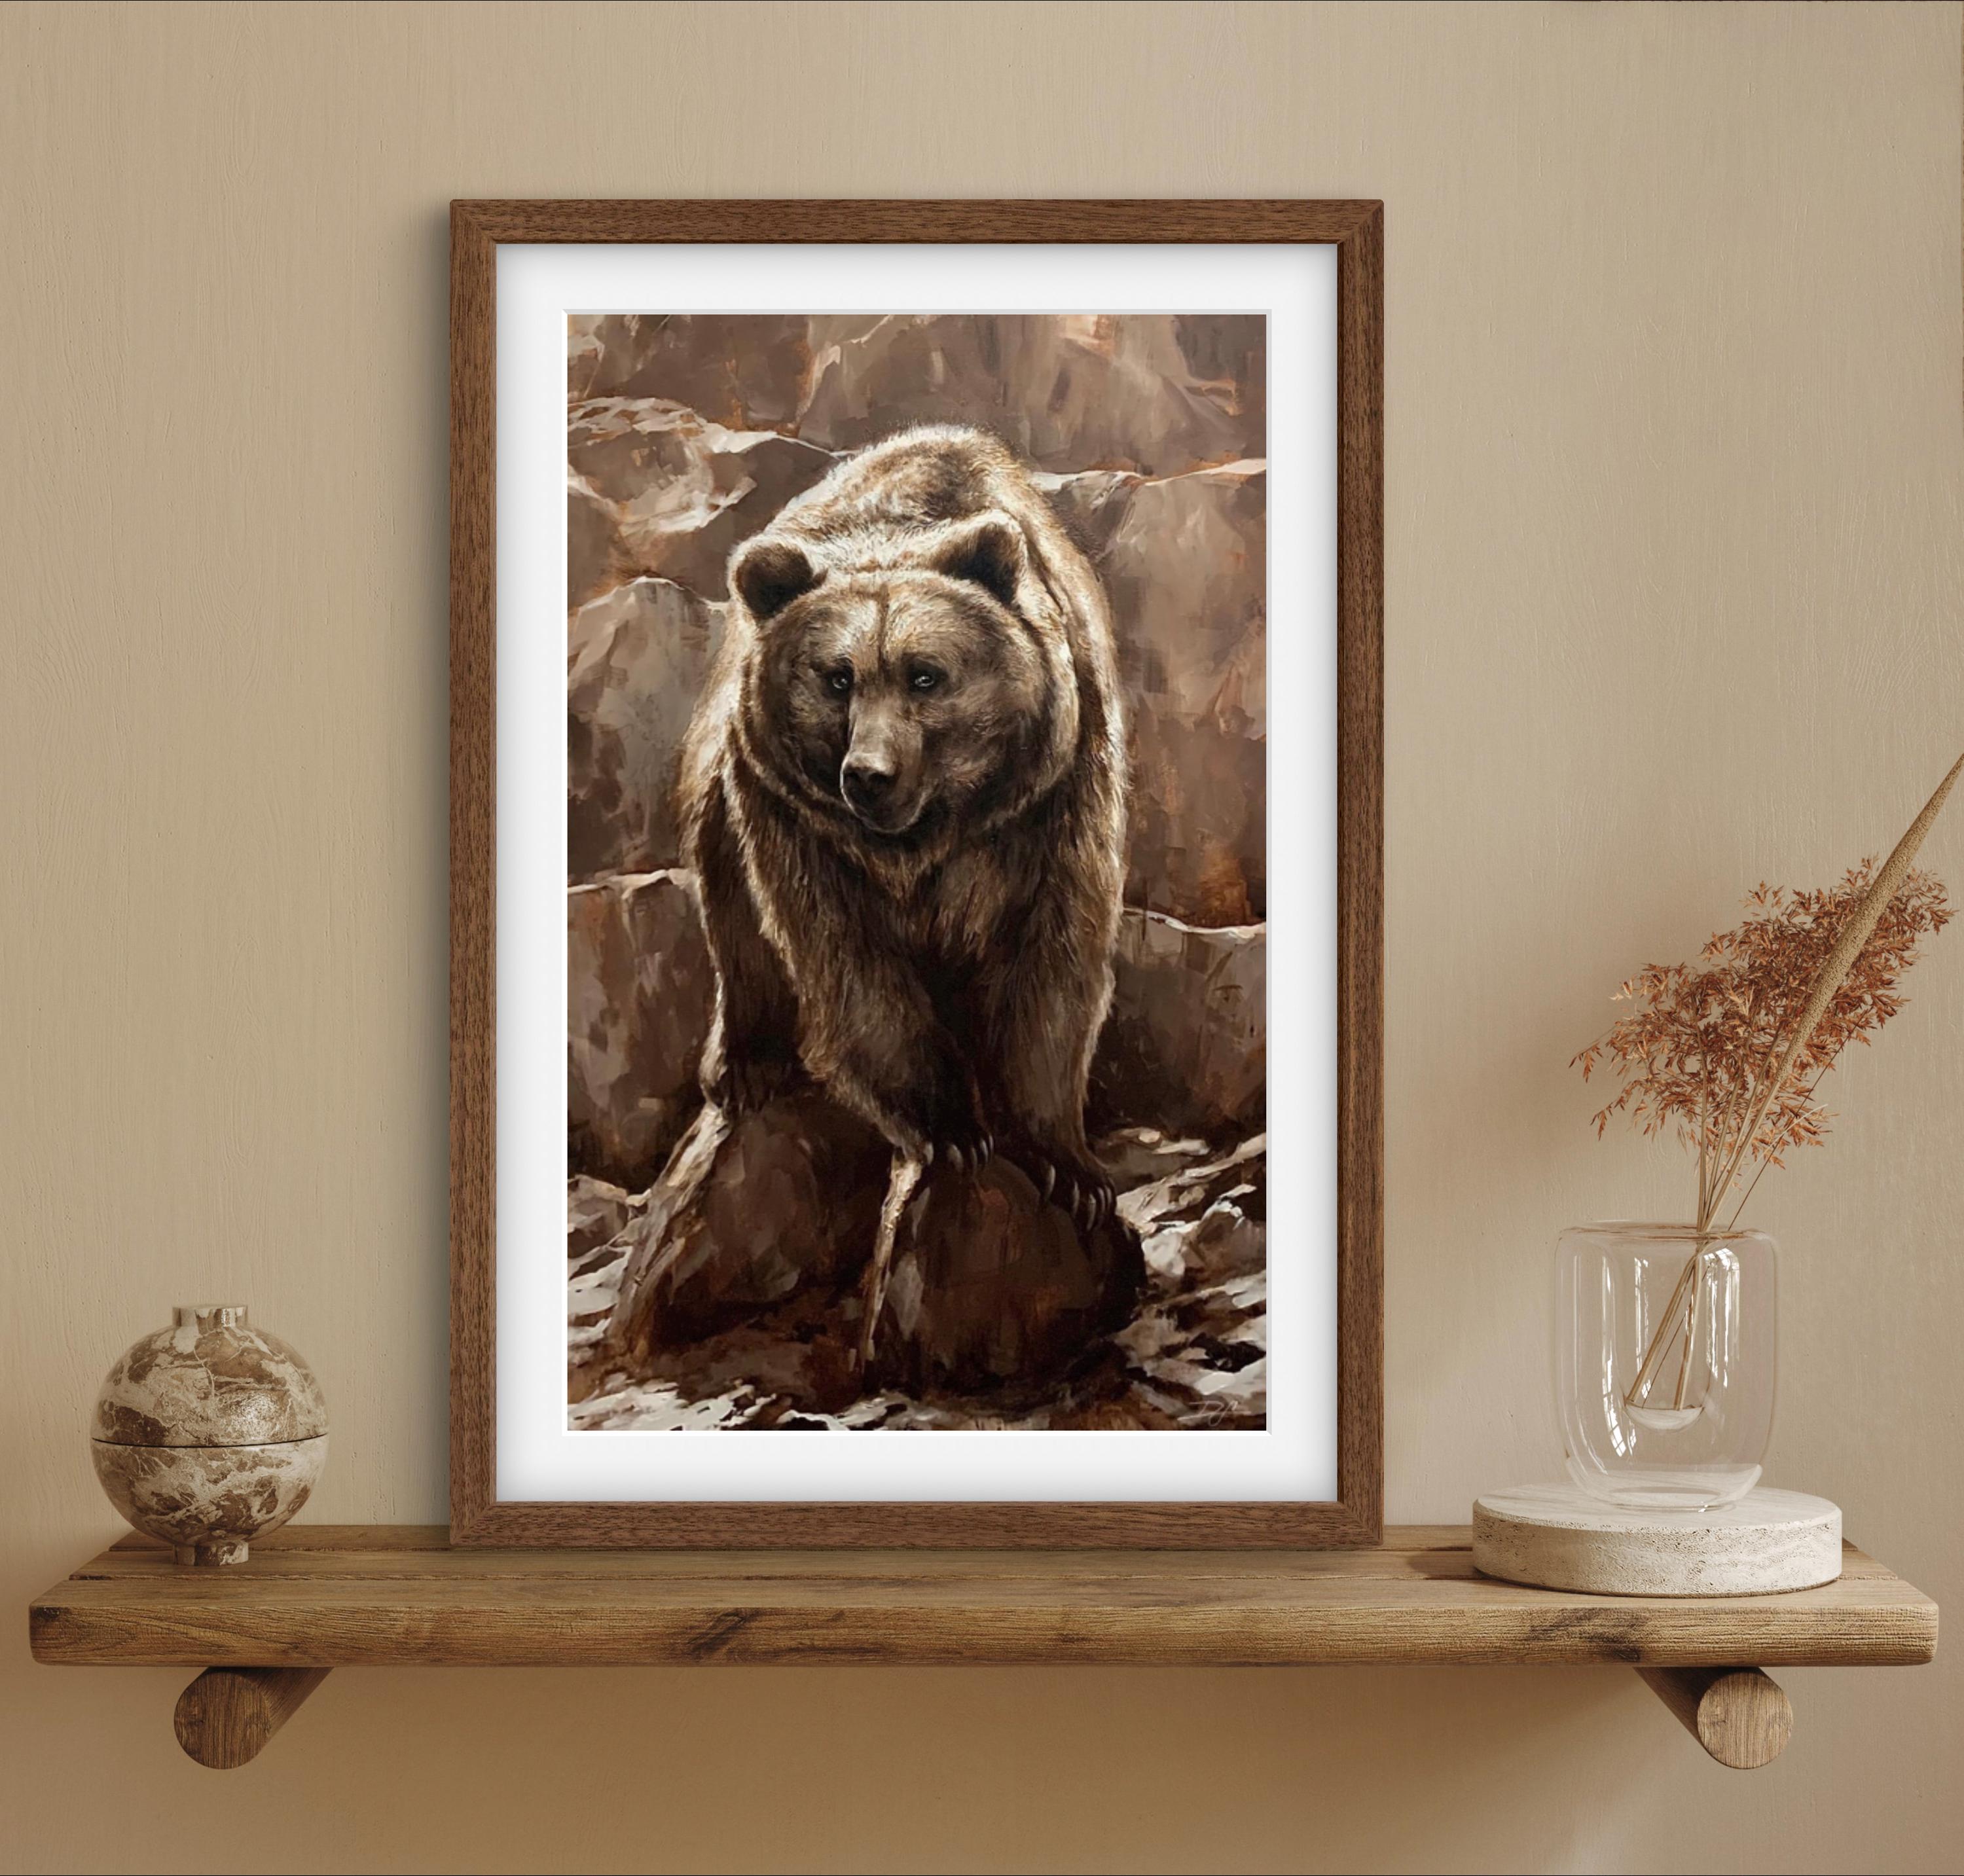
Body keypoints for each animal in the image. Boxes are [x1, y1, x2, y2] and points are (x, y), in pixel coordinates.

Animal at [677, 423, 1129, 1227]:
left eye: (925, 674)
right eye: (837, 677)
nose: (869, 775)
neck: (928, 833)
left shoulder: (1051, 805)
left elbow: (1051, 964)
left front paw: (1068, 1162)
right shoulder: (802, 826)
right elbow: (853, 970)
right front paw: (950, 1129)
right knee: (730, 901)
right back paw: (746, 1063)